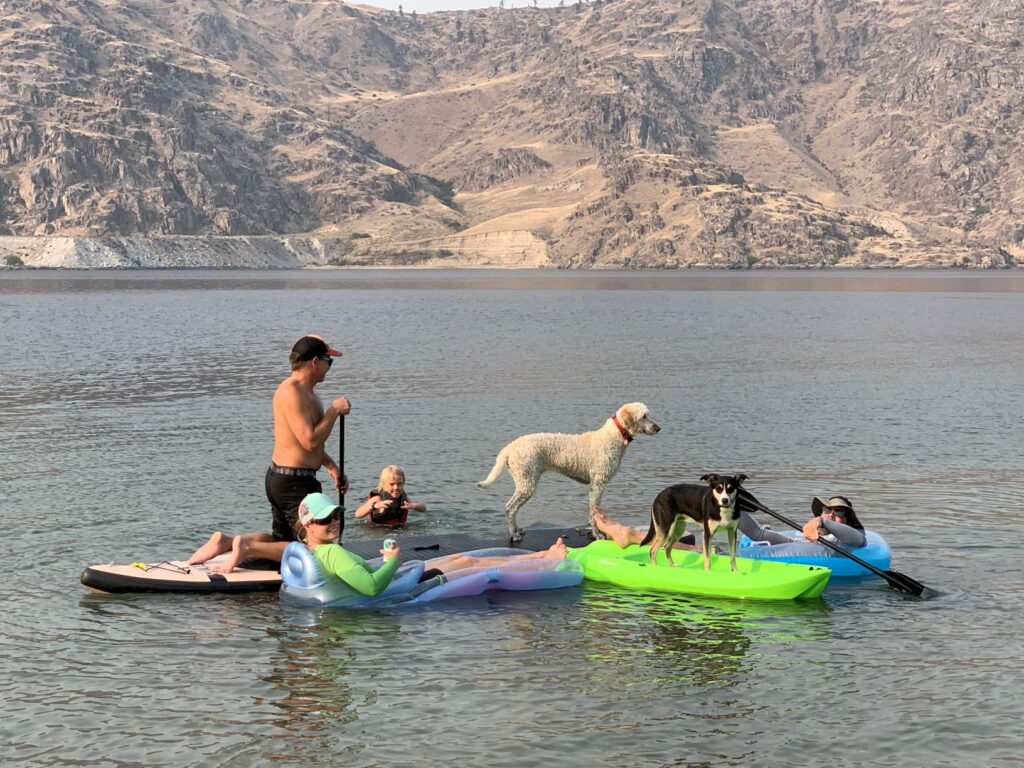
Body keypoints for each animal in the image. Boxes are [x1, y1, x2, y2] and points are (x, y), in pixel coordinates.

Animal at [475, 403, 659, 540]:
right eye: (644, 416)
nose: (658, 428)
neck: (612, 437)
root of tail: (510, 447)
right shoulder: (597, 484)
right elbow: (594, 513)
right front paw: (597, 534)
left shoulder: (596, 486)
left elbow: (595, 511)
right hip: (527, 483)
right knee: (510, 508)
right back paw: (514, 534)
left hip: (524, 482)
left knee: (512, 509)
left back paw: (517, 530)